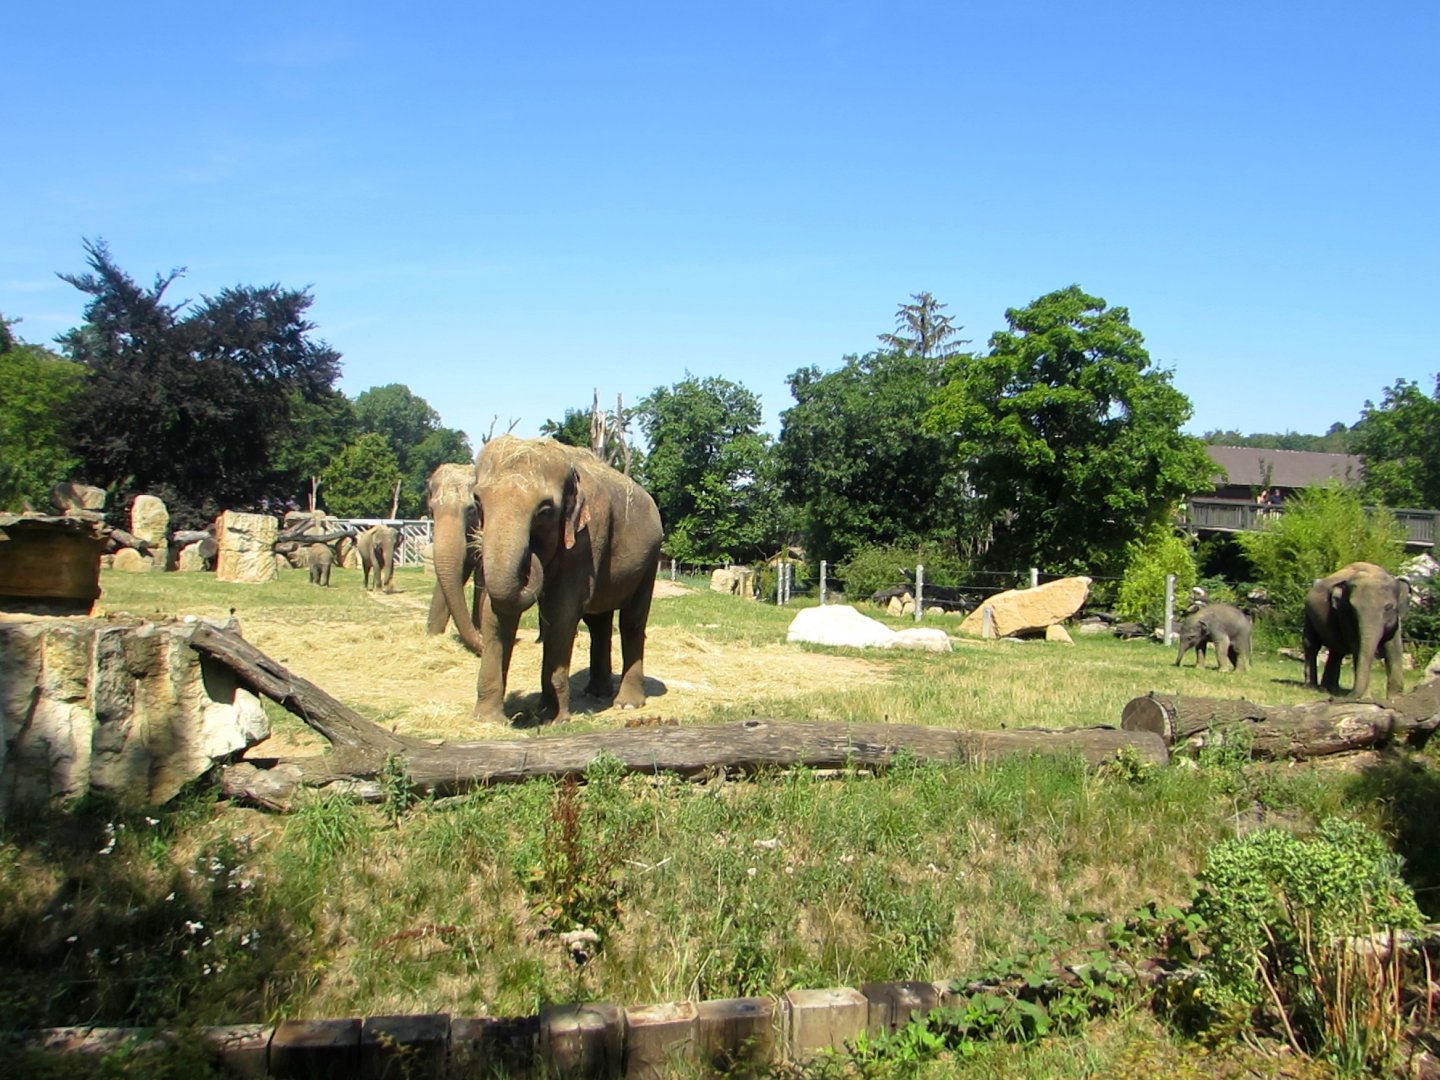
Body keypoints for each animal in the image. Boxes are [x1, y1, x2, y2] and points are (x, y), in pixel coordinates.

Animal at [471, 435, 663, 724]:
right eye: (478, 502)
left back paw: (626, 704)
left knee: (632, 620)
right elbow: (495, 612)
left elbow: (560, 612)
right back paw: (597, 693)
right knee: (598, 621)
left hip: (650, 560)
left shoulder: (587, 536)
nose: (531, 556)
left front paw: (553, 718)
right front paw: (488, 720)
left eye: (545, 511)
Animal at [1303, 561, 1410, 699]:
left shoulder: (1396, 620)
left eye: (1388, 607)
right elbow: (1356, 645)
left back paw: (1329, 689)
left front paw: (1395, 699)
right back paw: (1312, 687)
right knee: (1311, 645)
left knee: (1337, 651)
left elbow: (1393, 647)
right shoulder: (1344, 613)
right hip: (1308, 614)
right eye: (1353, 609)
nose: (1350, 695)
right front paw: (1365, 699)